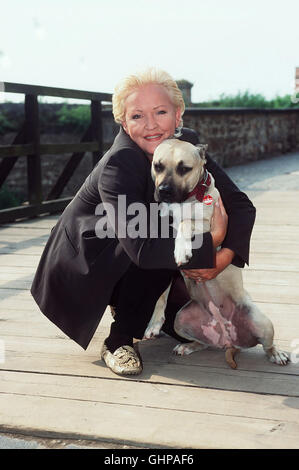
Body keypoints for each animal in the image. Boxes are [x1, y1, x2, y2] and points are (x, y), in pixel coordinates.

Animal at [144, 138, 290, 370]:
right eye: (157, 166)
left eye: (184, 168)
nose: (164, 190)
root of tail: (228, 340)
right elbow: (161, 293)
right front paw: (154, 323)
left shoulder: (207, 227)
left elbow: (186, 223)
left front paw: (182, 249)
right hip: (181, 319)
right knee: (204, 342)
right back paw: (188, 346)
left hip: (262, 321)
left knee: (267, 344)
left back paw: (276, 354)